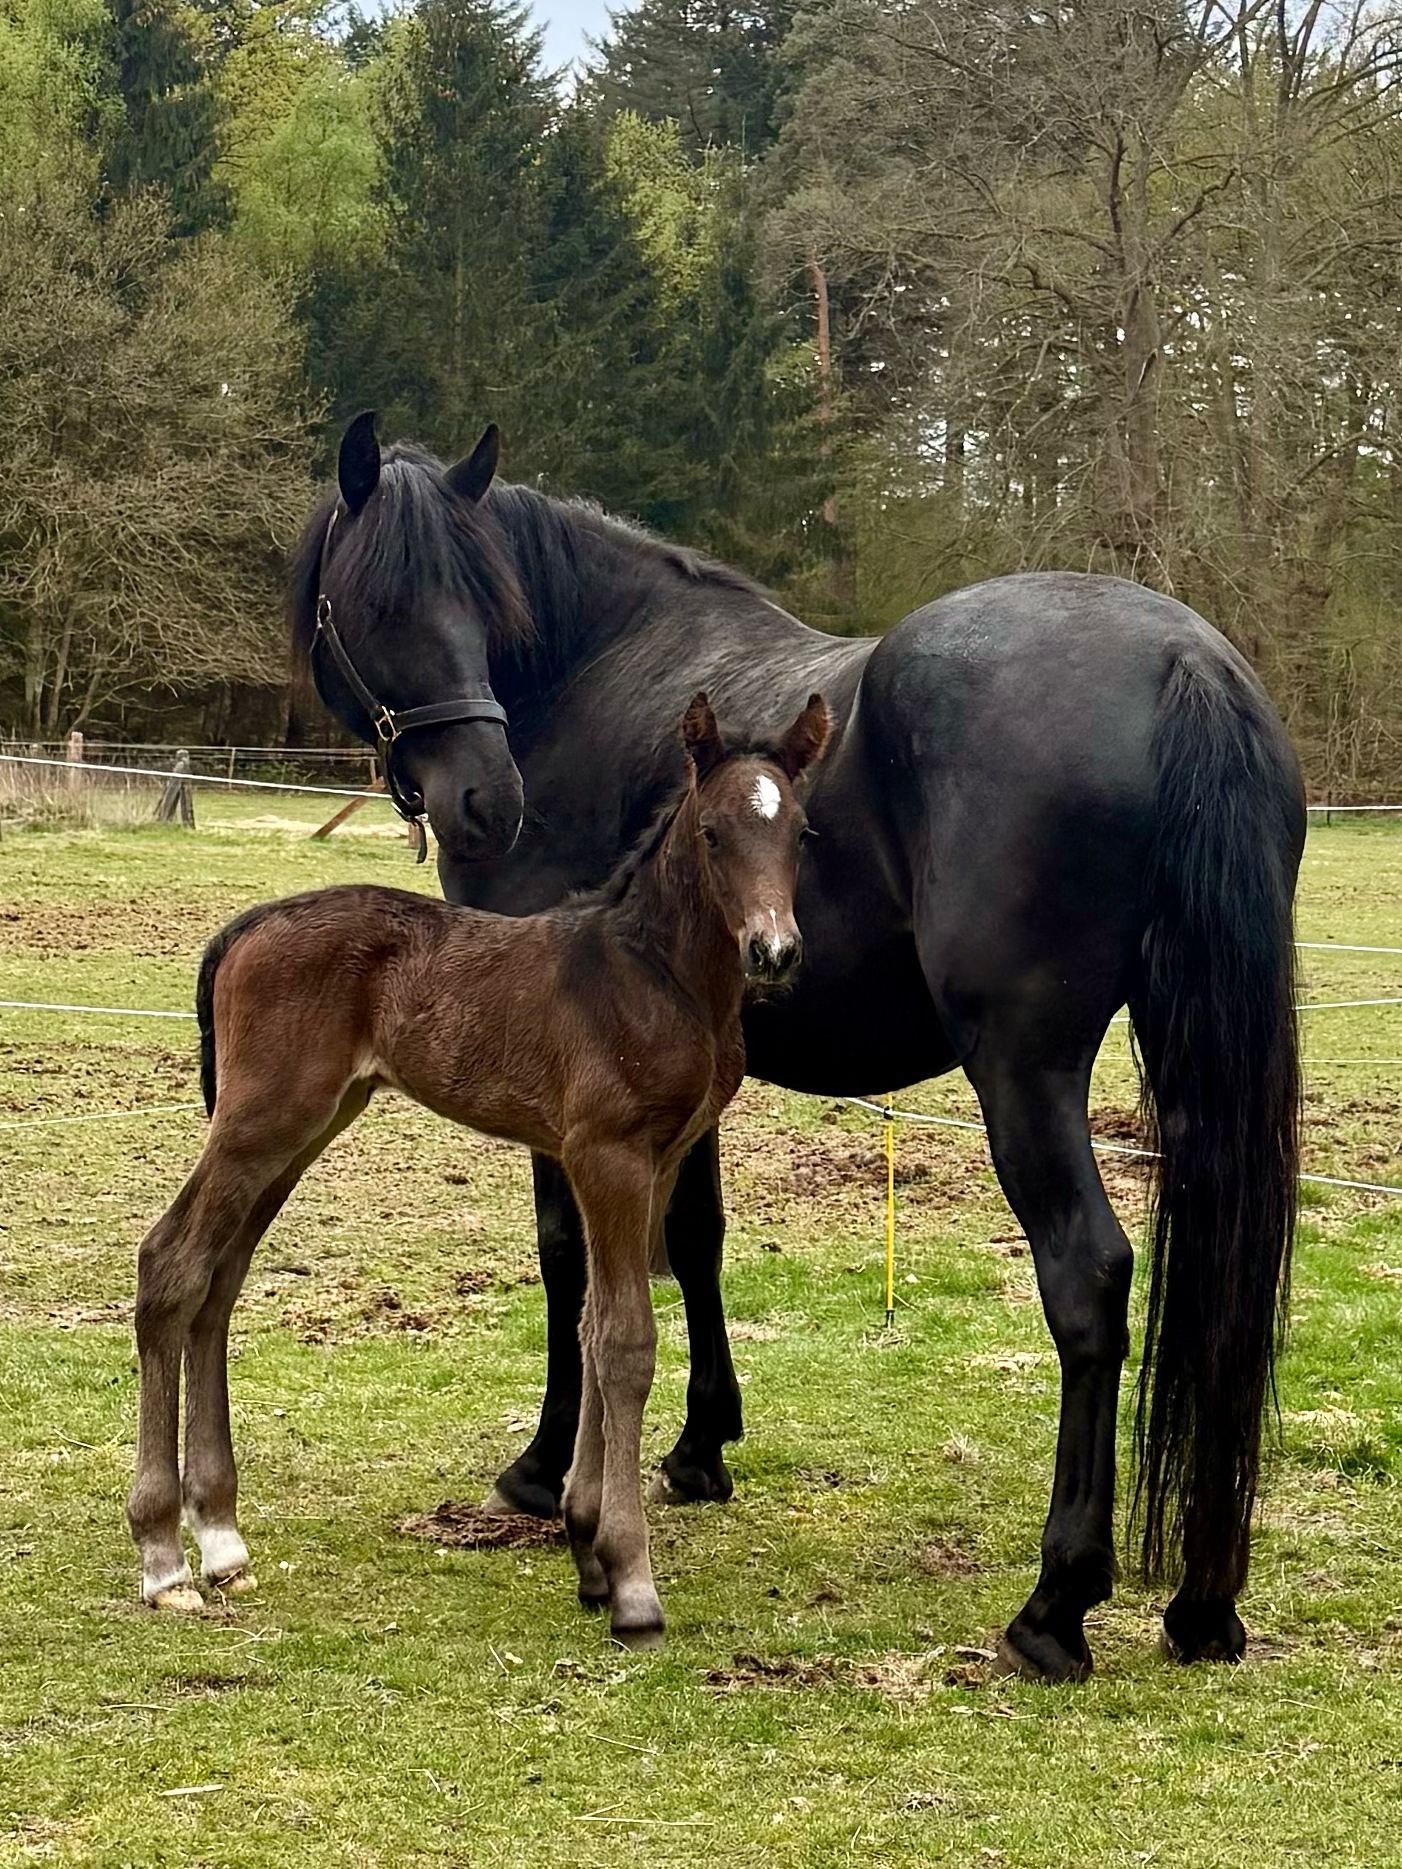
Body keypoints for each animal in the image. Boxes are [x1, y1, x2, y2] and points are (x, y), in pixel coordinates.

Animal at [125, 689, 831, 1649]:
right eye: (715, 832)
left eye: (798, 830)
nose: (774, 952)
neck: (653, 972)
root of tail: (246, 927)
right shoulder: (607, 1153)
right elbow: (625, 1340)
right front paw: (632, 1585)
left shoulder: (658, 1159)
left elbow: (592, 1327)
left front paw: (587, 1549)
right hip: (259, 1121)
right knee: (170, 1262)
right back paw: (163, 1556)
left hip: (304, 1126)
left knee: (218, 1280)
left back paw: (221, 1536)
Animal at [287, 410, 1304, 1682]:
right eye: (385, 601)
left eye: (484, 600)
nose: (485, 802)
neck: (589, 674)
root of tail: (1184, 663)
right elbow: (696, 1241)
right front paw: (700, 1445)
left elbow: (571, 1259)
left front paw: (547, 1469)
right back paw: (1203, 1606)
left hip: (1024, 1073)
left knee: (1088, 1278)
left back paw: (1054, 1606)